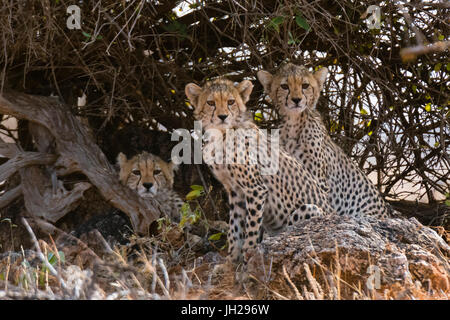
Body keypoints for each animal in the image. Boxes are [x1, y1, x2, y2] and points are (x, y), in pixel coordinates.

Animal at [185, 77, 336, 262]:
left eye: (230, 102)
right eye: (211, 102)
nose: (222, 116)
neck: (222, 134)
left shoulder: (255, 188)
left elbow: (251, 225)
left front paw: (249, 252)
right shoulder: (235, 190)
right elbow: (235, 227)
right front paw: (231, 259)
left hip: (309, 209)